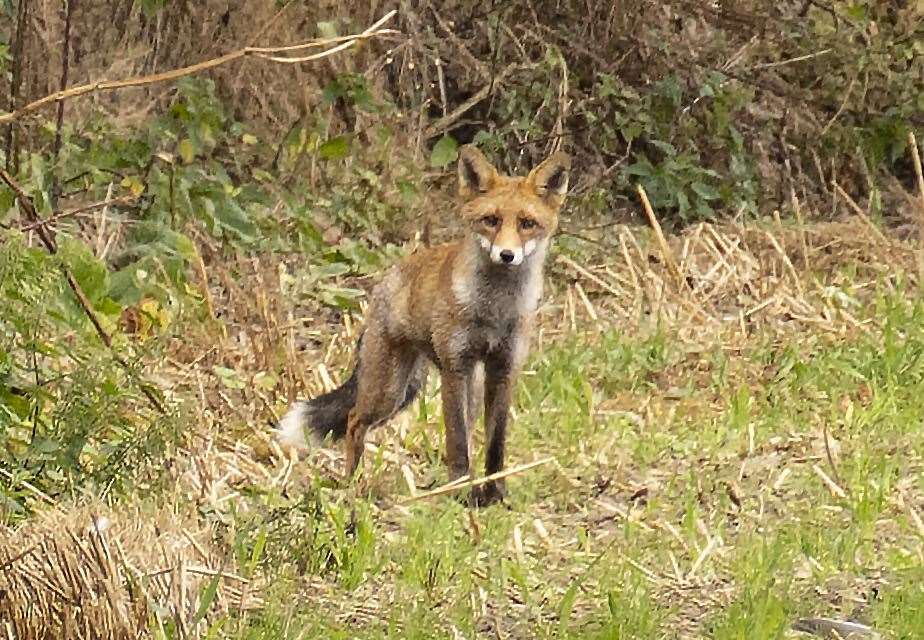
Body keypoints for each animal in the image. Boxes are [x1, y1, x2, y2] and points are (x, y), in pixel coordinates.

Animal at [278, 144, 572, 504]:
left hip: (447, 388)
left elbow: (495, 444)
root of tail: (386, 280)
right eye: (491, 220)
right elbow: (457, 443)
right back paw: (353, 483)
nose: (507, 255)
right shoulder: (455, 367)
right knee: (354, 421)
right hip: (390, 391)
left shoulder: (503, 369)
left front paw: (495, 493)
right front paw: (461, 493)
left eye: (527, 223)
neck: (494, 312)